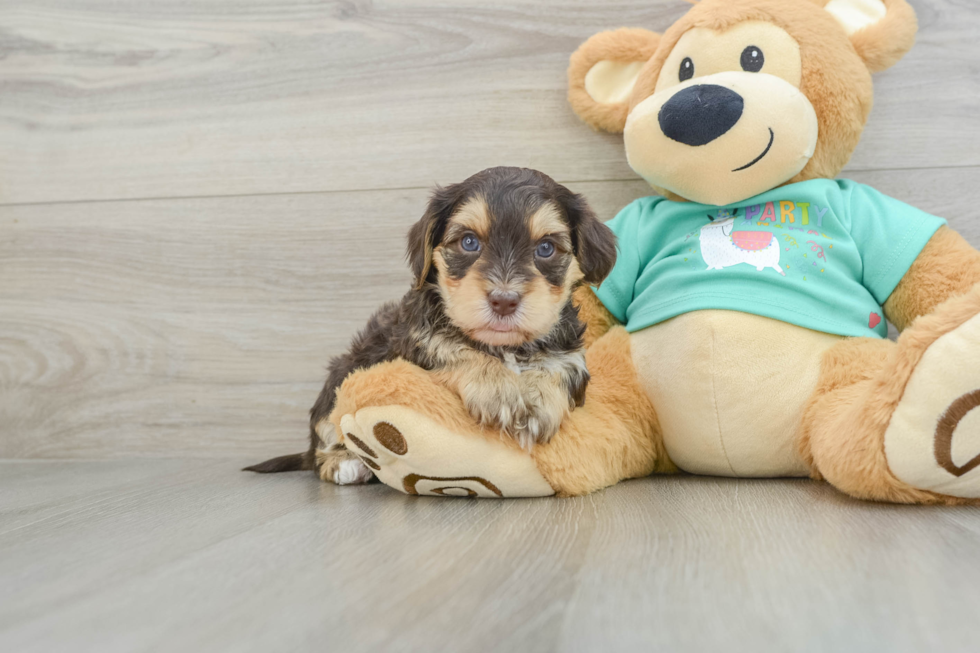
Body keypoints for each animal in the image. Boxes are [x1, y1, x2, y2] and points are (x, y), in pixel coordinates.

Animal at [242, 167, 616, 484]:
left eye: (546, 248)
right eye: (469, 242)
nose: (504, 300)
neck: (505, 348)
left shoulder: (572, 357)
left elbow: (559, 368)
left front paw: (537, 401)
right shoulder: (417, 341)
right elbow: (455, 350)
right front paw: (500, 391)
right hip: (341, 377)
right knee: (322, 440)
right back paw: (345, 462)